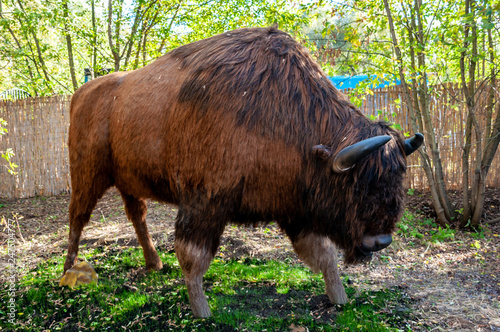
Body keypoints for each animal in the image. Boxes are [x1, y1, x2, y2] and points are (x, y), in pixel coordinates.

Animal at [62, 26, 422, 316]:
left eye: (398, 180)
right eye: (356, 183)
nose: (381, 241)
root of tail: (80, 94)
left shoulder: (296, 209)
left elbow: (323, 256)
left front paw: (339, 298)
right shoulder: (203, 203)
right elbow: (193, 258)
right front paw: (203, 312)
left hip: (128, 180)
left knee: (136, 215)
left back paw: (154, 264)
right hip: (86, 175)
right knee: (77, 218)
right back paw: (67, 273)